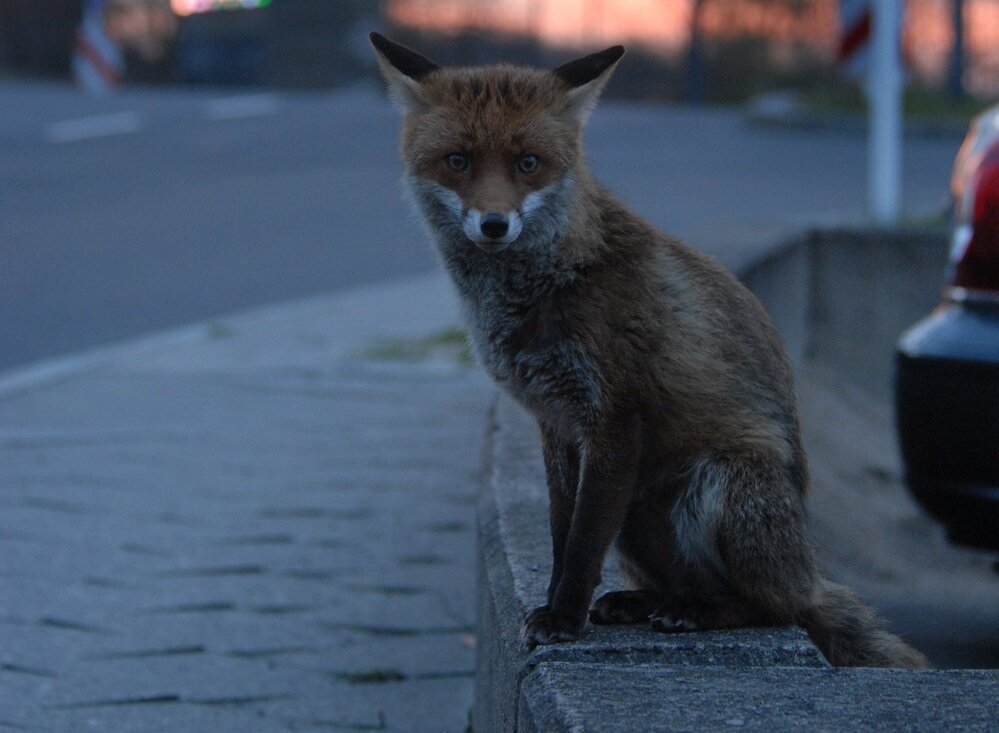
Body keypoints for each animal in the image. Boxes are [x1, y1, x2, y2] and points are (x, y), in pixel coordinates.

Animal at [372, 30, 932, 668]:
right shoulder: (557, 423)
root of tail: (808, 572)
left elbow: (582, 543)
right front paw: (556, 605)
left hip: (722, 484)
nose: (494, 224)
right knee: (693, 583)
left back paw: (699, 612)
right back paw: (647, 602)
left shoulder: (615, 415)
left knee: (772, 608)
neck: (546, 284)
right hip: (640, 520)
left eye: (528, 163)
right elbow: (563, 532)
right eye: (458, 160)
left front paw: (562, 618)